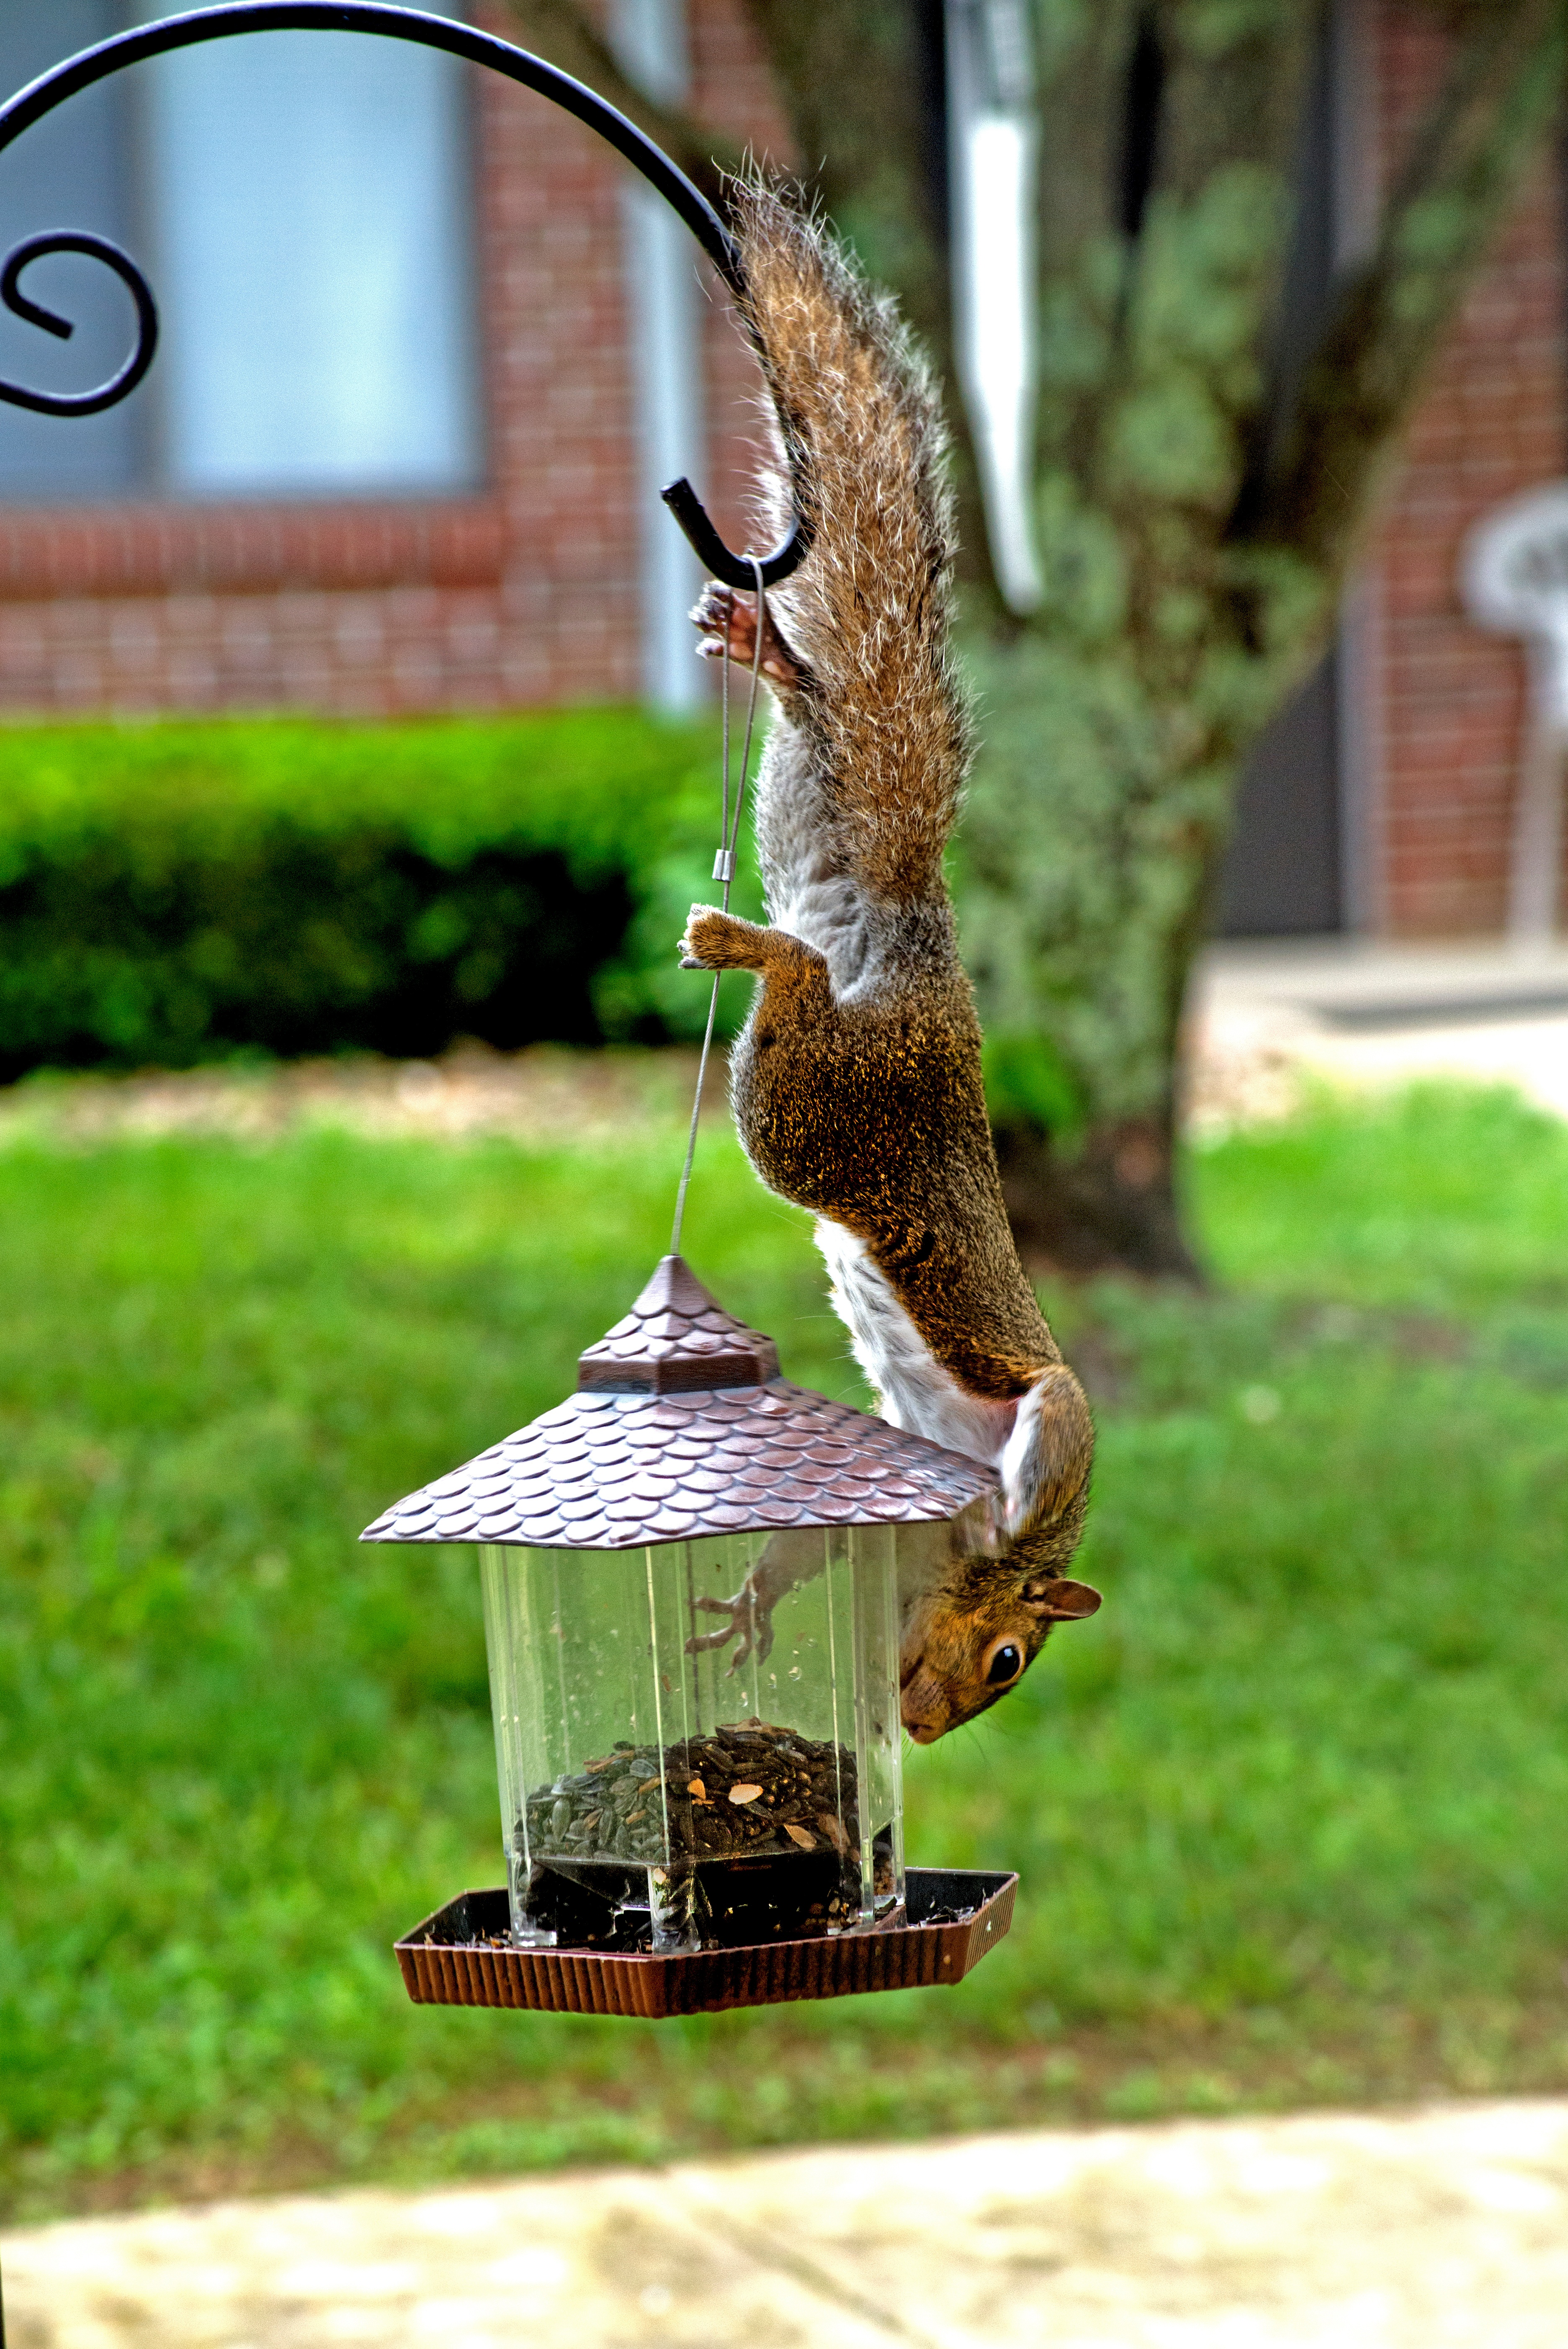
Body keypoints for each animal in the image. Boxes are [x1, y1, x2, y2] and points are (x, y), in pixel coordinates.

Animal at [678, 185, 1099, 1744]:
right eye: (1010, 1663)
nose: (919, 1727)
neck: (962, 1554)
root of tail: (911, 951)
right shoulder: (1023, 1466)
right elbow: (1056, 1430)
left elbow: (805, 1554)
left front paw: (750, 1611)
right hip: (816, 1117)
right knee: (792, 990)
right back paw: (749, 942)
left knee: (810, 737)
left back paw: (763, 655)